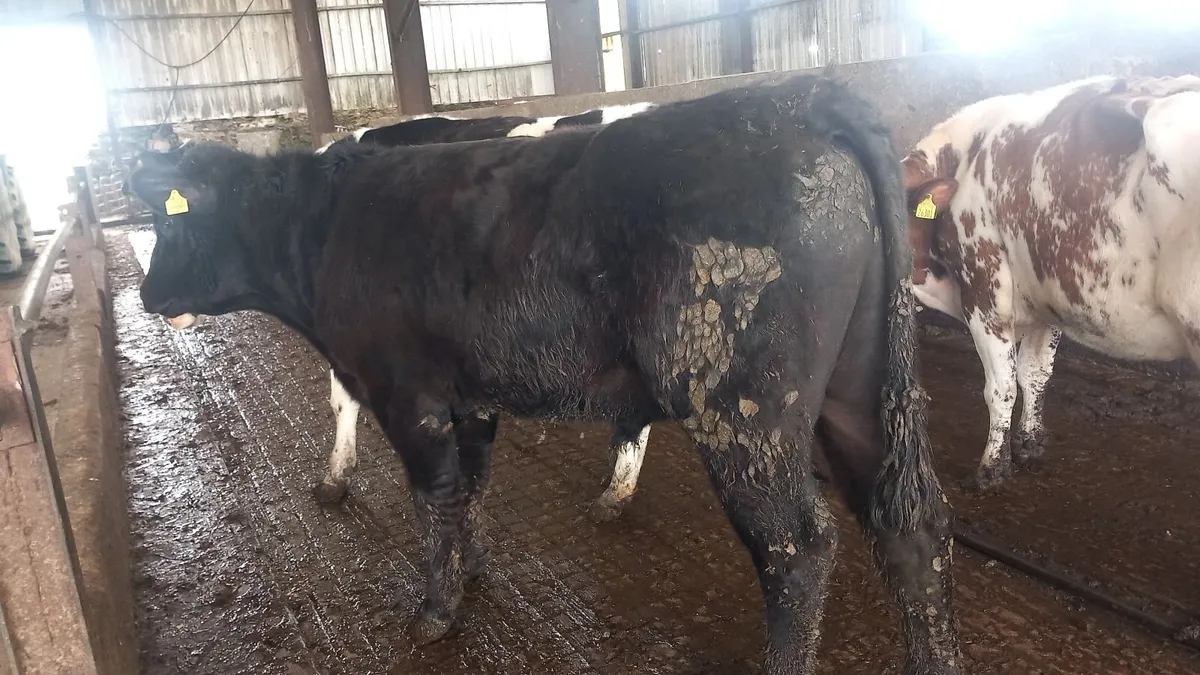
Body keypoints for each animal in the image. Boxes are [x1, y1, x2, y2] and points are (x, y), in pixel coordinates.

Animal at [902, 74, 1200, 489]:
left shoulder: (984, 290)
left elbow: (1001, 387)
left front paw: (991, 469)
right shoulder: (1045, 297)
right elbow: (1035, 374)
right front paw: (1030, 445)